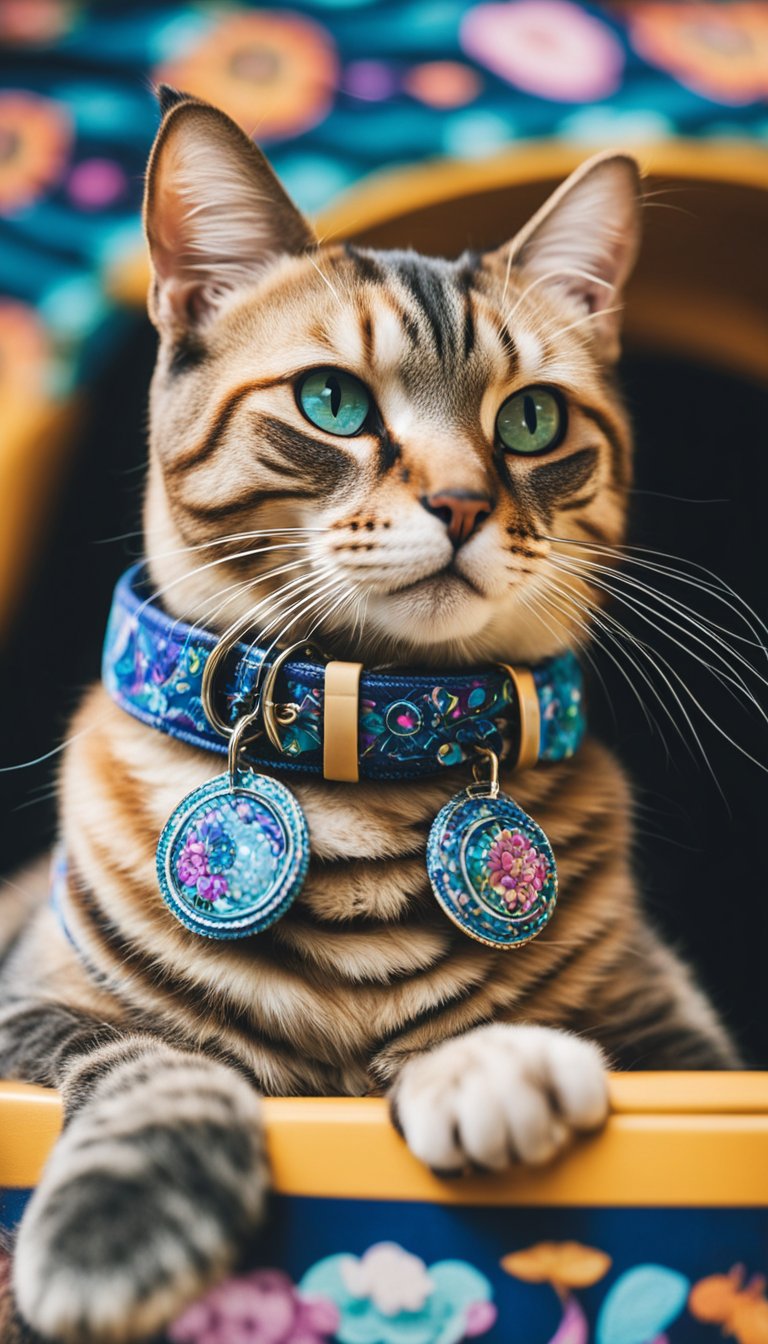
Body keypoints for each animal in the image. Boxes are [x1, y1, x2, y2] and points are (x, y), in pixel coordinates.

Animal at [0, 86, 737, 1344]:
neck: (379, 750)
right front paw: (111, 1231)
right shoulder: (25, 1005)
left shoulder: (700, 1059)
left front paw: (487, 1064)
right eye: (332, 401)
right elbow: (158, 1056)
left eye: (533, 421)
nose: (462, 502)